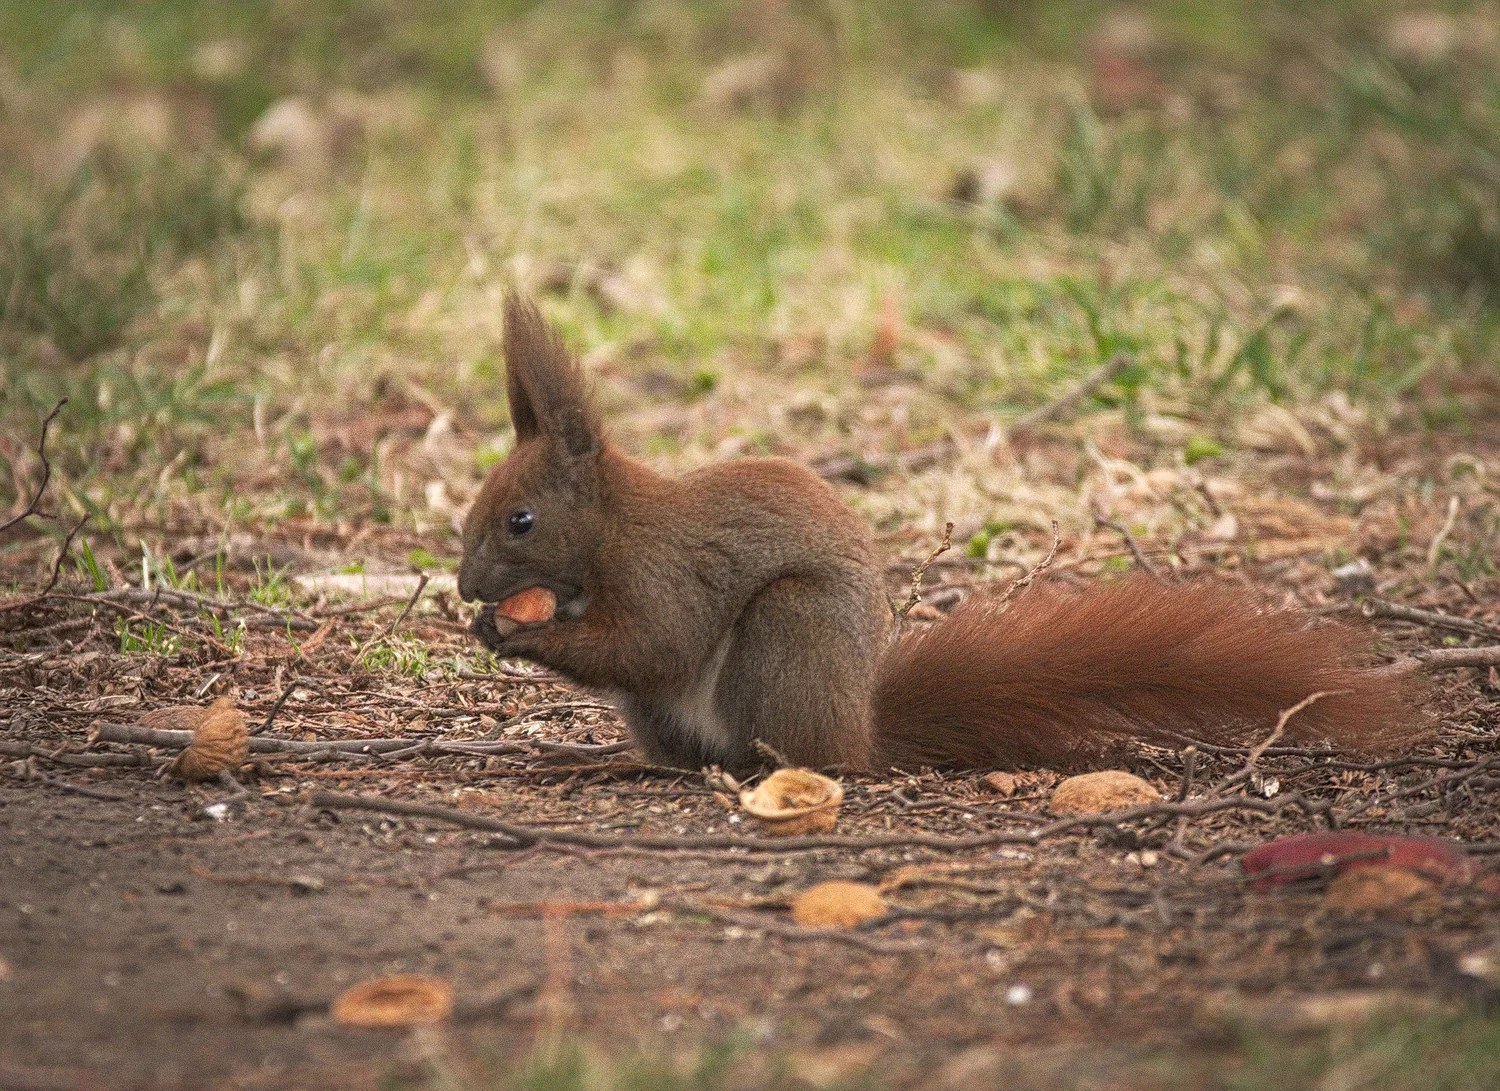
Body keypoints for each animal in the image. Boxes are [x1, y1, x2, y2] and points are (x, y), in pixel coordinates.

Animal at [457, 295, 1427, 772]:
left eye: (520, 520)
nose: (467, 586)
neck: (607, 536)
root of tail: (860, 729)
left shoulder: (667, 572)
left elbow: (654, 642)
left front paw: (517, 631)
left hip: (788, 635)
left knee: (788, 753)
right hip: (668, 713)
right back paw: (624, 766)